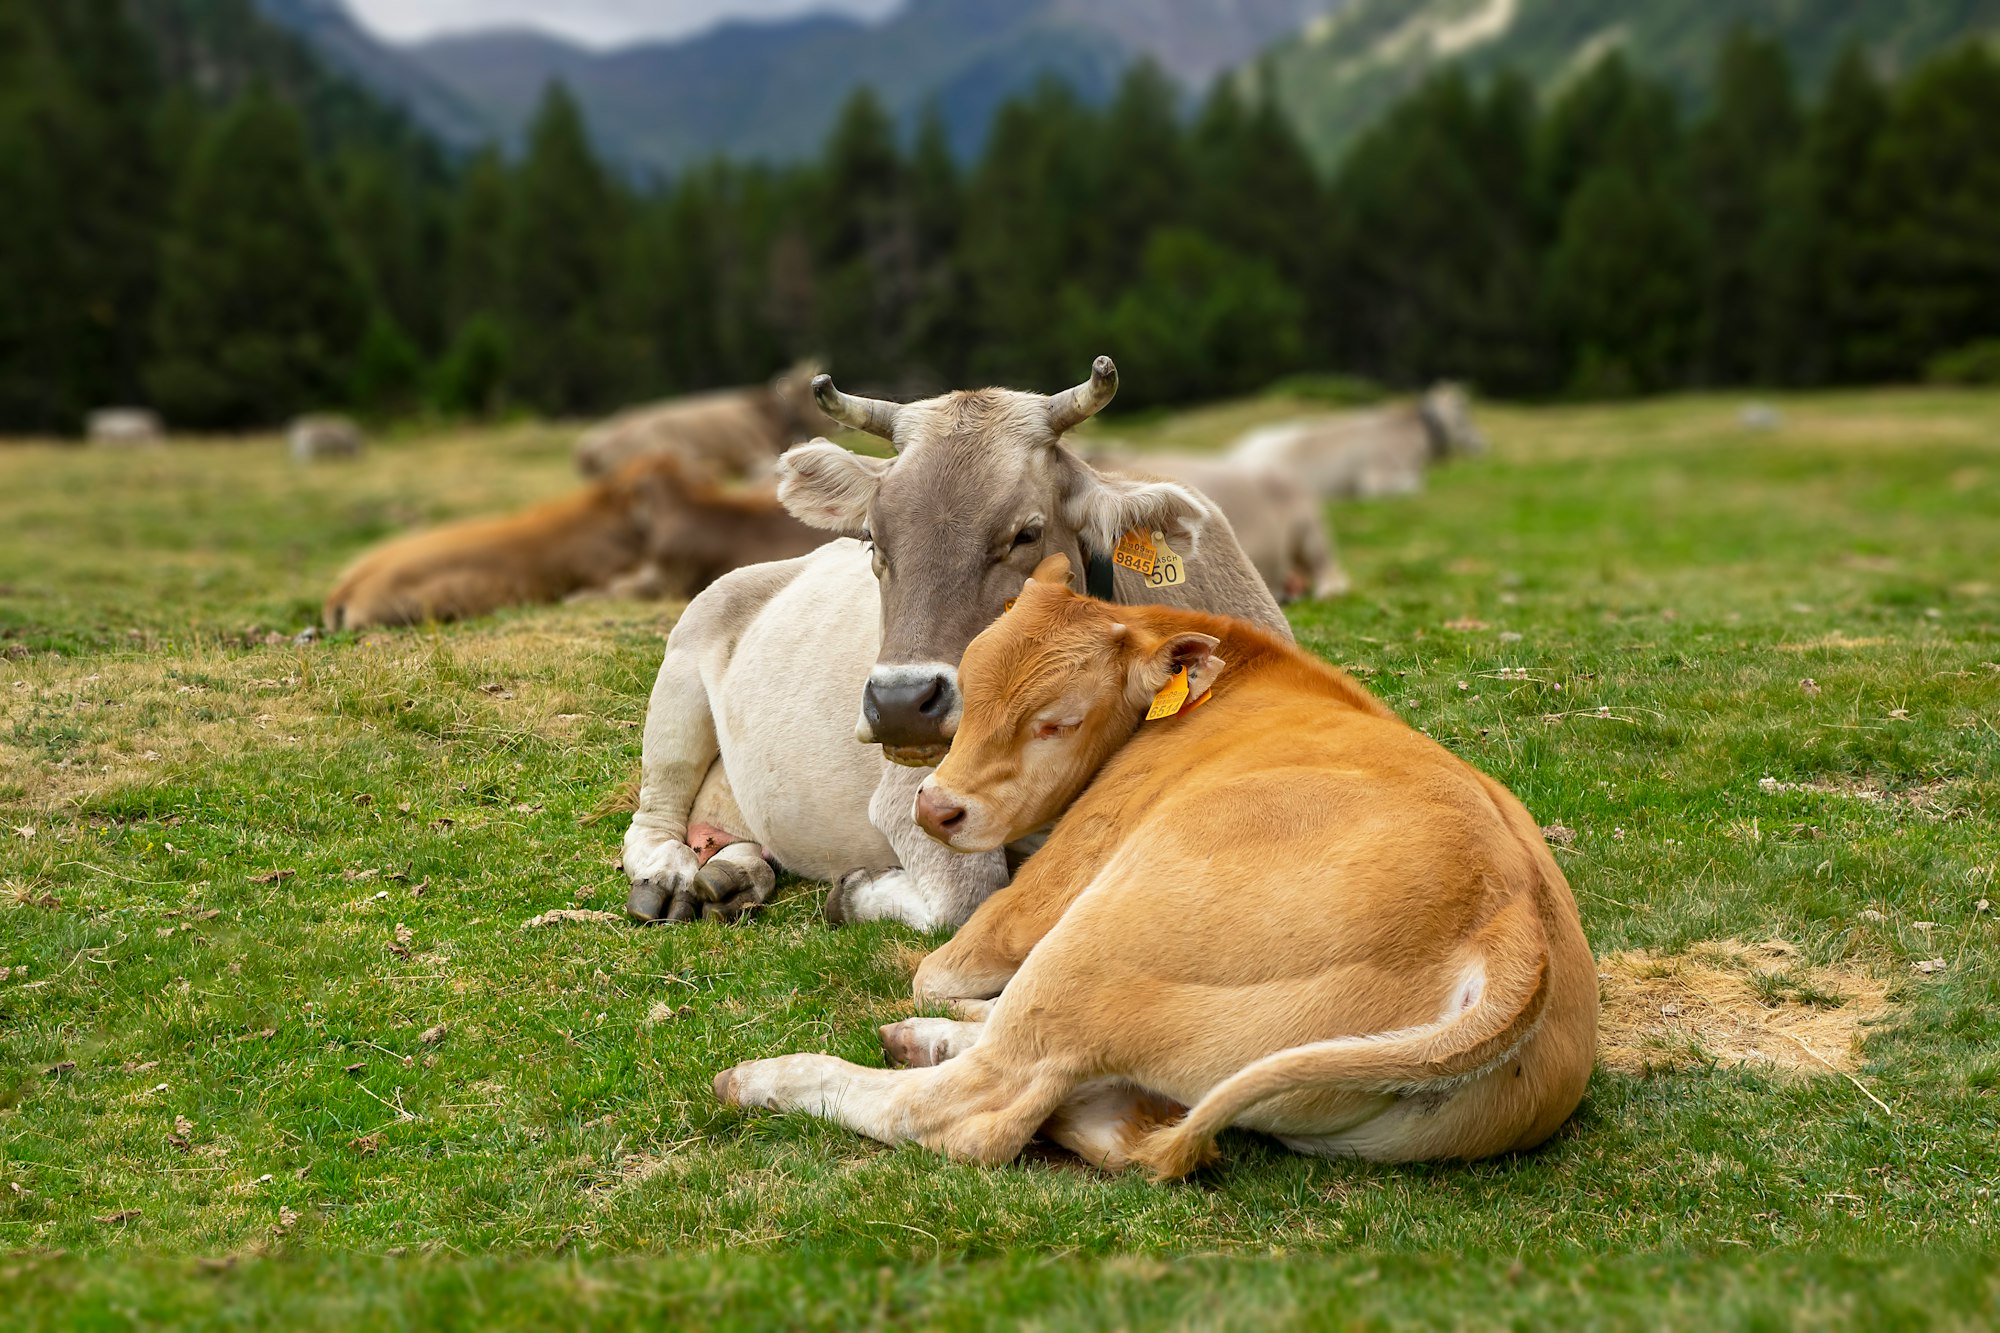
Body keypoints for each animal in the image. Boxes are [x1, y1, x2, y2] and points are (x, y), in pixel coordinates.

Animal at [720, 552, 1592, 1176]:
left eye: (1057, 721)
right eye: (965, 689)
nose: (936, 808)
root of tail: (1513, 930)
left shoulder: (1037, 894)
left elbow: (937, 965)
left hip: (1095, 939)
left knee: (979, 1106)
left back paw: (771, 1076)